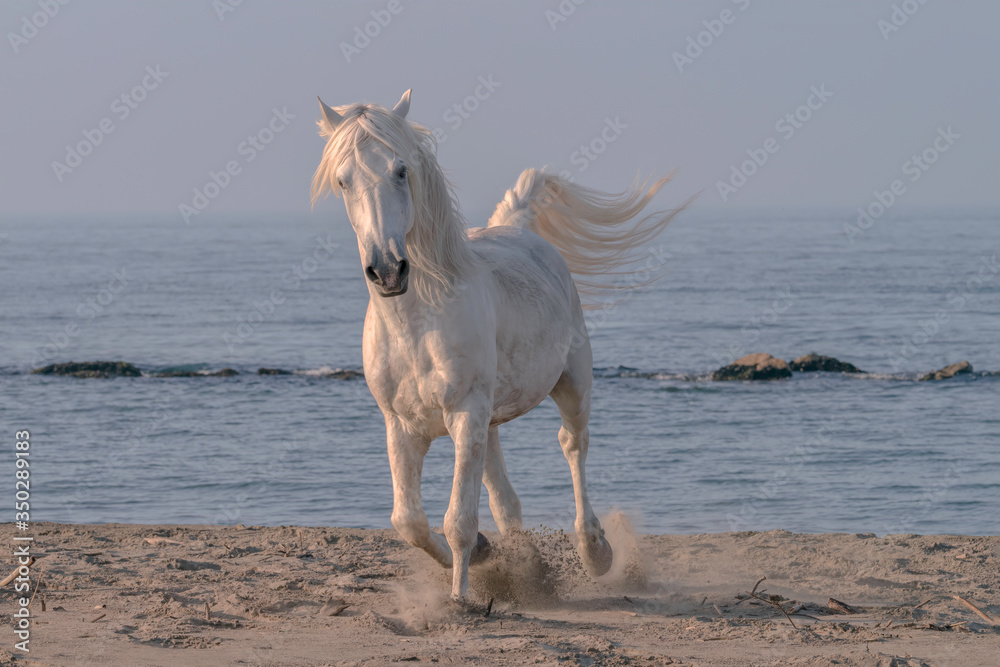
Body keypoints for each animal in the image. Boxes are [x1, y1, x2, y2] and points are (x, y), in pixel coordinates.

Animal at [312, 89, 683, 601]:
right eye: (343, 181)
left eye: (401, 170)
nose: (387, 270)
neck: (418, 323)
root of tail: (523, 231)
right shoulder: (401, 425)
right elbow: (408, 520)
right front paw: (489, 558)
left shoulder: (466, 413)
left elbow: (458, 522)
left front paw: (459, 600)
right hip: (488, 424)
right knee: (506, 498)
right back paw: (529, 566)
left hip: (571, 384)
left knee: (573, 445)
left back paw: (595, 552)